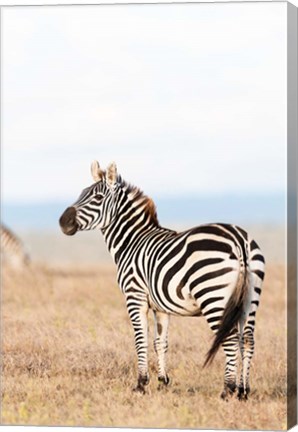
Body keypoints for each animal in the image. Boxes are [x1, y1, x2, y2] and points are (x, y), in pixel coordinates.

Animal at [59, 162, 264, 402]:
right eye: (81, 193)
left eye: (98, 197)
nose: (62, 222)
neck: (131, 241)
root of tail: (239, 239)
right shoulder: (161, 306)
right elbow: (160, 342)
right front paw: (163, 382)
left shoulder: (135, 296)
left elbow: (141, 340)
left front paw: (141, 384)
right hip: (249, 299)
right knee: (247, 340)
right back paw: (243, 392)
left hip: (214, 297)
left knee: (230, 339)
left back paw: (227, 390)